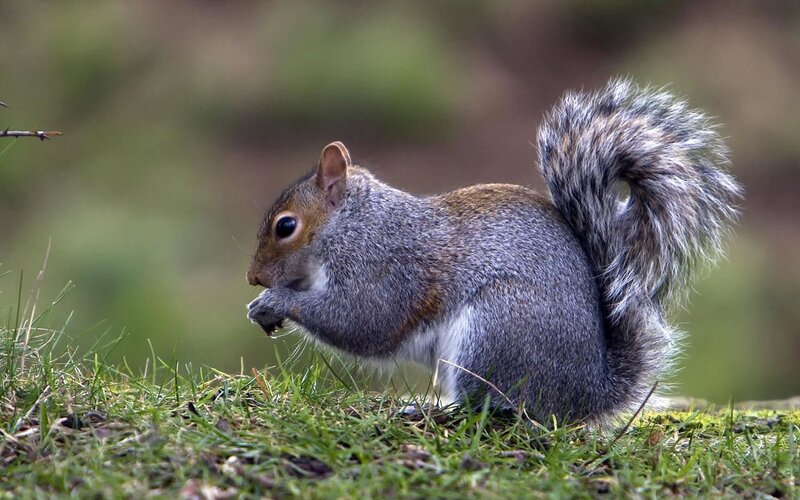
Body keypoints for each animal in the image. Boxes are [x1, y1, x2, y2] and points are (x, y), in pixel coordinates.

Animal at [246, 79, 741, 423]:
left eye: (286, 226)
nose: (254, 279)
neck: (351, 224)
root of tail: (585, 395)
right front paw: (260, 306)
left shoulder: (385, 265)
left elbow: (363, 321)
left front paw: (277, 301)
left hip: (493, 332)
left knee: (495, 409)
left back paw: (431, 411)